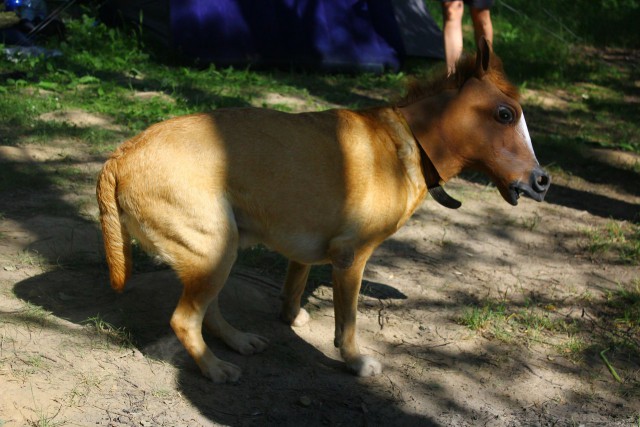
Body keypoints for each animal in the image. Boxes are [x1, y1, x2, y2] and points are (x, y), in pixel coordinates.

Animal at [97, 38, 548, 382]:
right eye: (505, 114)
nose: (543, 180)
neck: (411, 140)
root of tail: (119, 157)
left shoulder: (305, 250)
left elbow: (294, 285)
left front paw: (291, 316)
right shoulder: (351, 258)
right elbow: (347, 323)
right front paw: (354, 361)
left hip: (217, 253)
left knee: (209, 312)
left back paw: (239, 341)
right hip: (213, 251)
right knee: (185, 320)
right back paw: (215, 367)